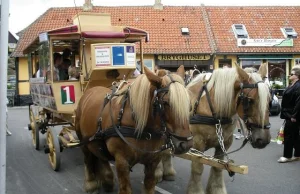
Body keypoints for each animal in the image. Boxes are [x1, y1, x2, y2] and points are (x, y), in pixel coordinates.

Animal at [74, 65, 192, 194]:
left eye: (189, 102)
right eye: (165, 102)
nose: (185, 144)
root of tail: (90, 90)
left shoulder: (153, 161)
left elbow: (149, 186)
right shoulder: (122, 162)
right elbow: (125, 189)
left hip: (97, 139)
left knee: (100, 155)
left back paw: (107, 180)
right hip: (83, 141)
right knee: (88, 159)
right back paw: (91, 184)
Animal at [156, 63, 270, 194]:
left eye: (269, 99)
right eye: (249, 100)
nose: (263, 140)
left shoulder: (224, 143)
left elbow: (218, 167)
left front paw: (216, 189)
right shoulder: (197, 142)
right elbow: (198, 168)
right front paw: (195, 190)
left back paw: (168, 173)